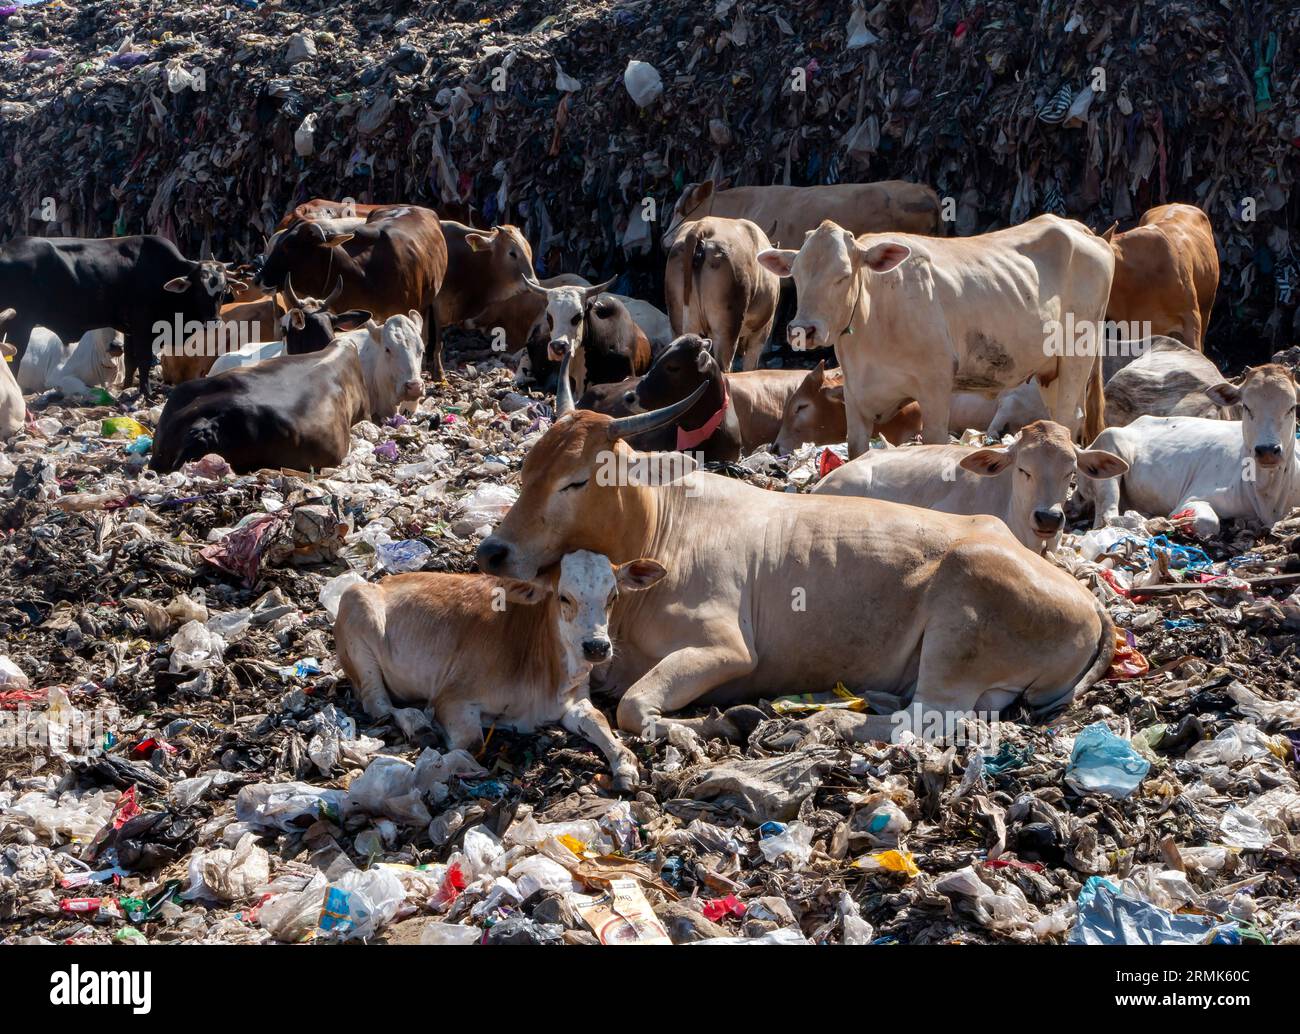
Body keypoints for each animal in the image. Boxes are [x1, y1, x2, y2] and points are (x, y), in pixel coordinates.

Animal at [0, 235, 233, 397]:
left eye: (223, 290)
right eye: (199, 289)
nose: (215, 321)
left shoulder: (129, 330)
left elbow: (130, 361)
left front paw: (127, 387)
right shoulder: (143, 326)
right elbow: (143, 360)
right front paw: (147, 393)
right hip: (20, 322)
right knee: (14, 357)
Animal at [335, 551, 667, 789]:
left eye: (613, 597)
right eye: (563, 597)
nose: (596, 647)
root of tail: (381, 581)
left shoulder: (573, 701)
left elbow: (599, 721)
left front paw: (624, 766)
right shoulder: (453, 697)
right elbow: (470, 743)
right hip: (356, 613)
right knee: (377, 705)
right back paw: (418, 724)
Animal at [758, 215, 1113, 456]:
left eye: (843, 276)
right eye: (796, 274)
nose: (803, 329)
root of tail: (1079, 229)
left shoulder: (936, 385)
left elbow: (934, 442)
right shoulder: (856, 393)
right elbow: (857, 448)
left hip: (1078, 352)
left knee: (1069, 416)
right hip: (1049, 369)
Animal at [1079, 365, 1299, 538]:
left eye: (1292, 407)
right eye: (1246, 406)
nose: (1268, 450)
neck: (1267, 496)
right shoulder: (1193, 498)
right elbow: (1208, 522)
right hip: (1109, 453)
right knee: (1107, 517)